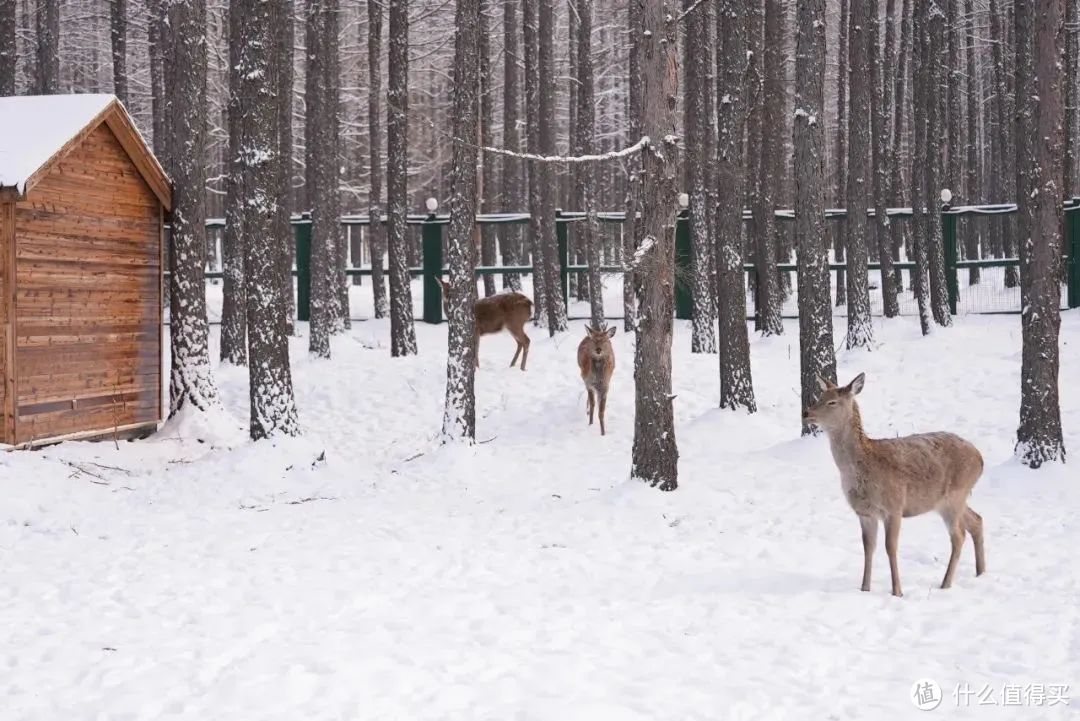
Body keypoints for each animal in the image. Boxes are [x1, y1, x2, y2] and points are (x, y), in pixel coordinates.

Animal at [803, 371, 989, 595]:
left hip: (955, 495)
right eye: (819, 396)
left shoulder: (894, 506)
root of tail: (980, 459)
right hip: (949, 500)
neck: (864, 467)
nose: (806, 413)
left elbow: (890, 548)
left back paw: (945, 583)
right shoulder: (864, 512)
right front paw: (864, 588)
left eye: (832, 402)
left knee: (959, 535)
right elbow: (868, 547)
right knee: (977, 520)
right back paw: (981, 572)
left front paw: (897, 591)